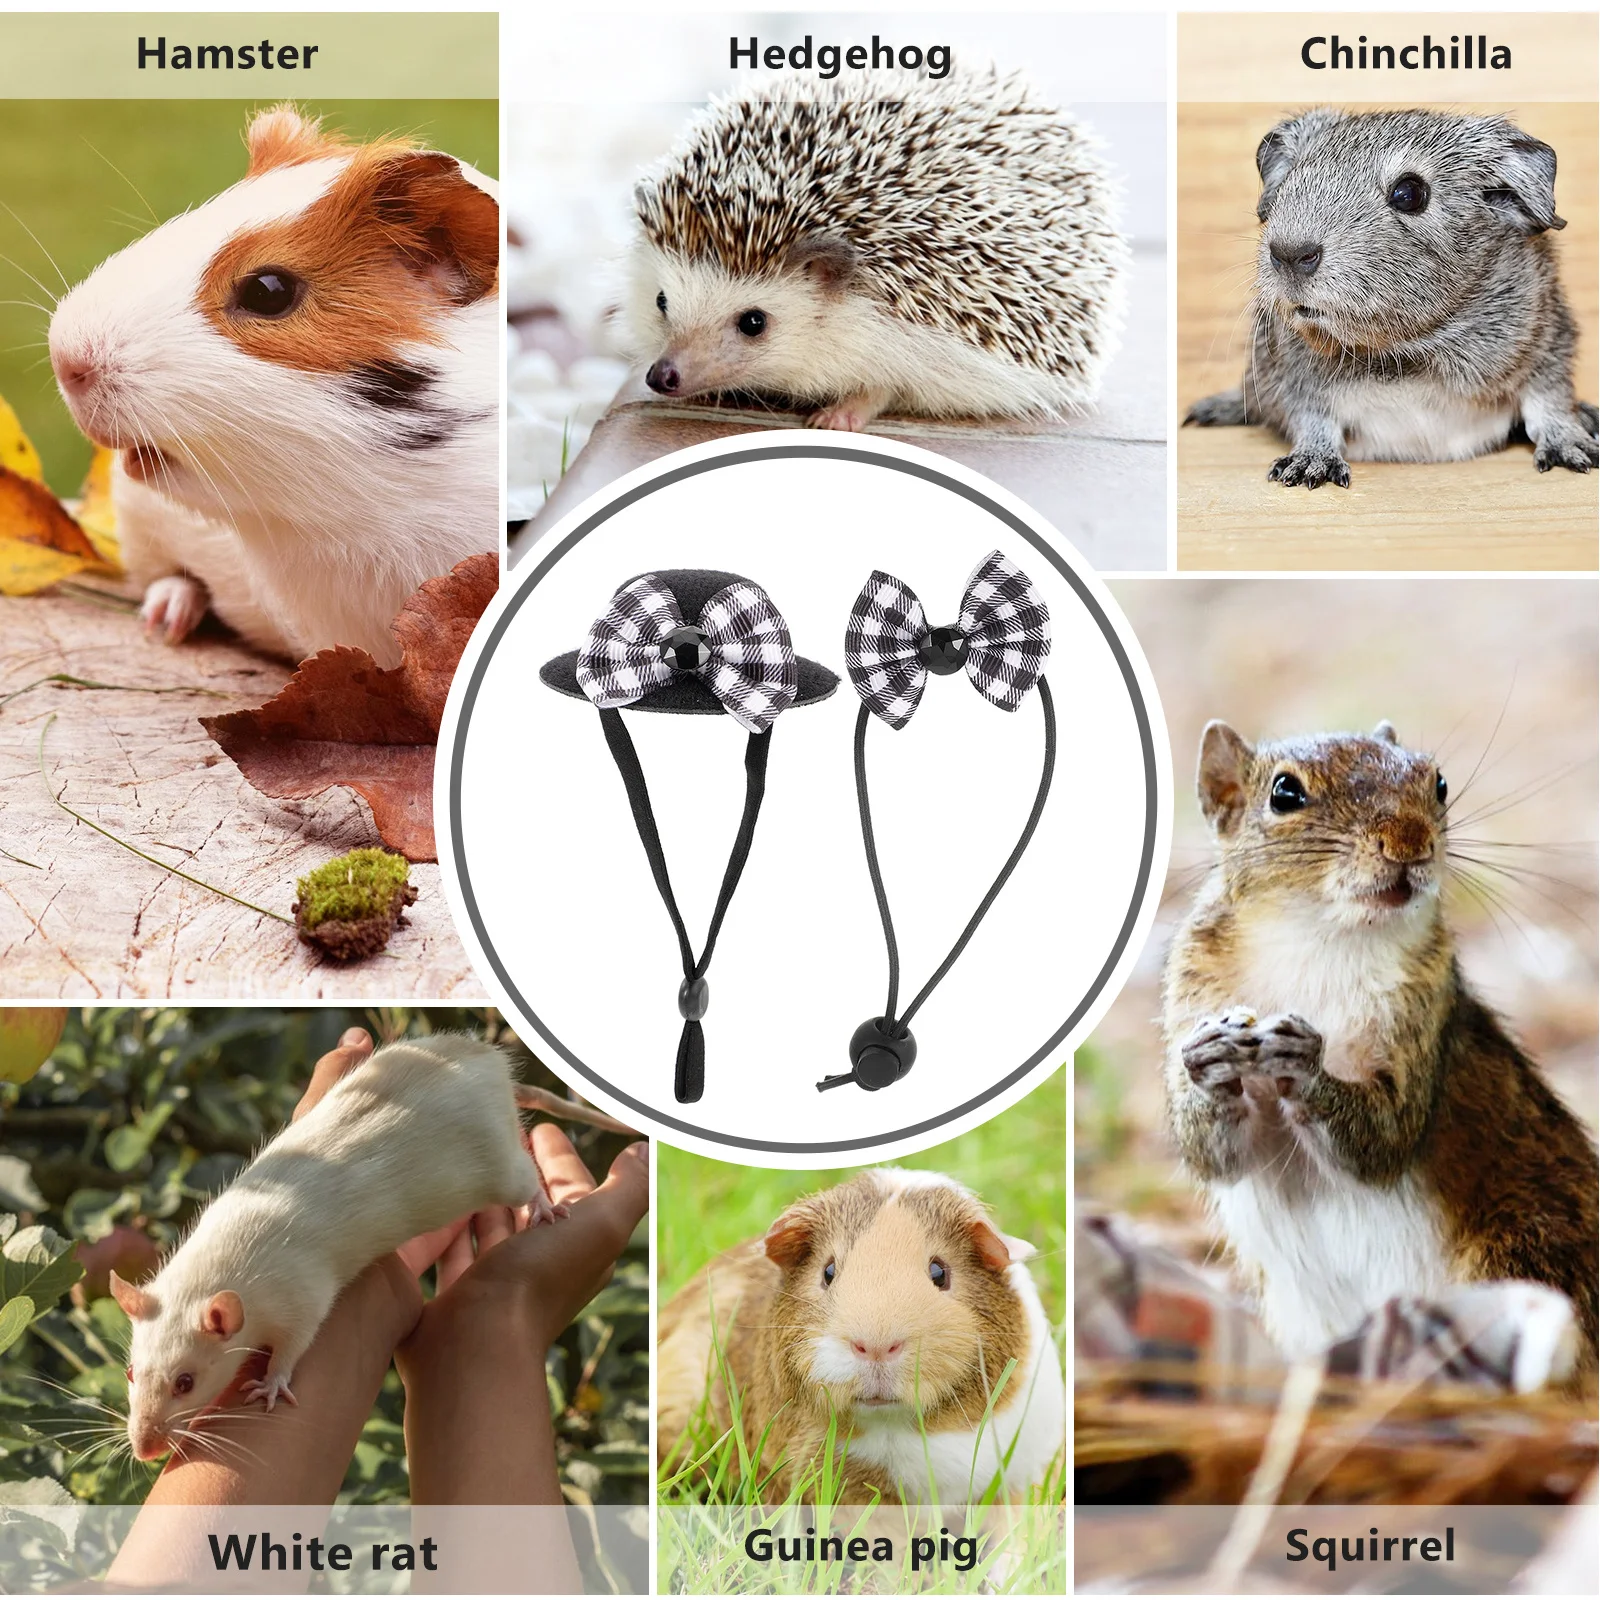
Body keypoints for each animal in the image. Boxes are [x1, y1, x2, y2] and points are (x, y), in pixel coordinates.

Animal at [111, 1037, 567, 1462]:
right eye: (131, 1373)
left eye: (184, 1383)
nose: (144, 1449)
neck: (203, 1277)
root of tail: (492, 1065)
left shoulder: (296, 1294)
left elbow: (298, 1338)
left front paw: (272, 1382)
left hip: (497, 1163)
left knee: (523, 1178)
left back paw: (541, 1207)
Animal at [1163, 721, 1598, 1369]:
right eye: (1285, 794)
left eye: (1438, 783)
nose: (1409, 841)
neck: (1322, 937)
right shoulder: (1192, 992)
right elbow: (1211, 1153)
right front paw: (1210, 1063)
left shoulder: (1427, 1013)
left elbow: (1386, 1136)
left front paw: (1307, 1066)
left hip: (1528, 1249)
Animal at [1186, 109, 1599, 488]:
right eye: (1290, 179)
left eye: (1409, 193)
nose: (1289, 253)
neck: (1405, 353)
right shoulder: (1293, 379)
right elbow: (1313, 420)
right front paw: (1307, 468)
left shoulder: (1548, 343)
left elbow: (1548, 402)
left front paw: (1574, 451)